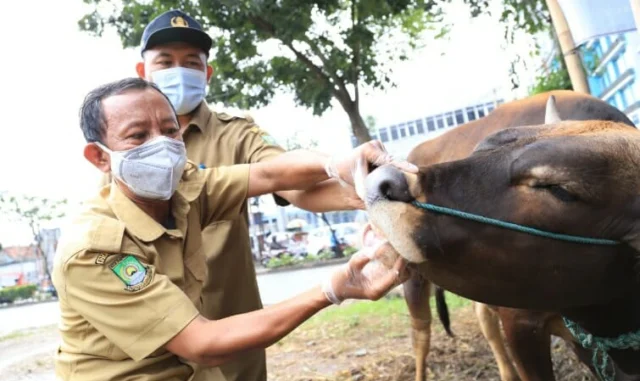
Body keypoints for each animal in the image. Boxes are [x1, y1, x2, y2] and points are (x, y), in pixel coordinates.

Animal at [364, 90, 640, 378]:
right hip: (415, 283)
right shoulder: (521, 323)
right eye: (483, 148)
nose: (382, 181)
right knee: (421, 337)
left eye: (559, 189)